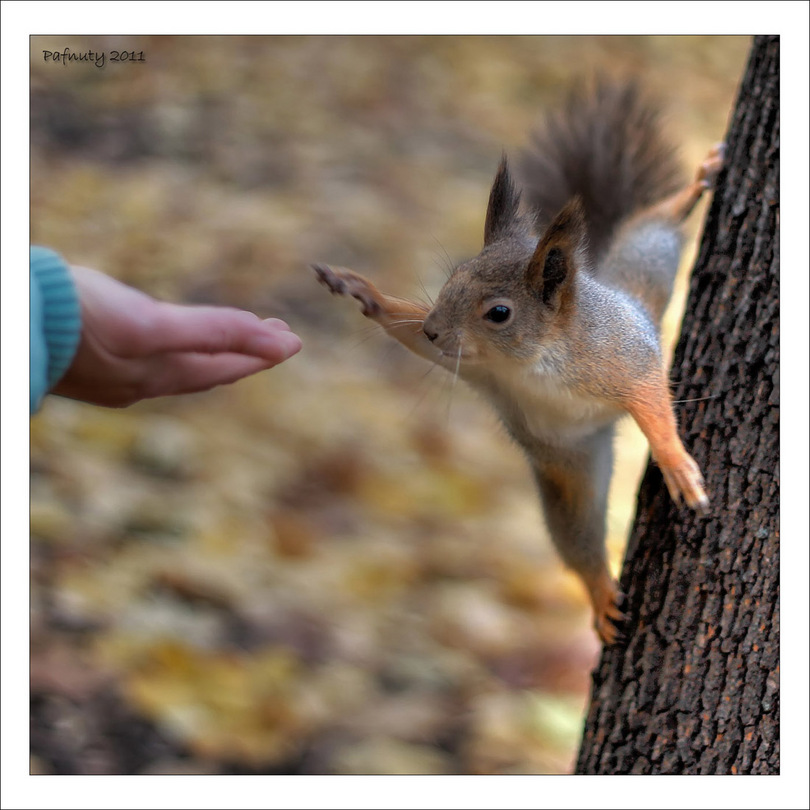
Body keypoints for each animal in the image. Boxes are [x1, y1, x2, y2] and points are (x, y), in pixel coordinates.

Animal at [312, 80, 724, 644]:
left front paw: (675, 461)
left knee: (651, 236)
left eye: (499, 313)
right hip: (570, 473)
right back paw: (599, 592)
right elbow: (411, 338)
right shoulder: (481, 369)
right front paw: (366, 294)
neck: (531, 363)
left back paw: (694, 187)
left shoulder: (618, 354)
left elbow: (649, 397)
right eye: (452, 278)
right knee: (577, 539)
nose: (433, 327)